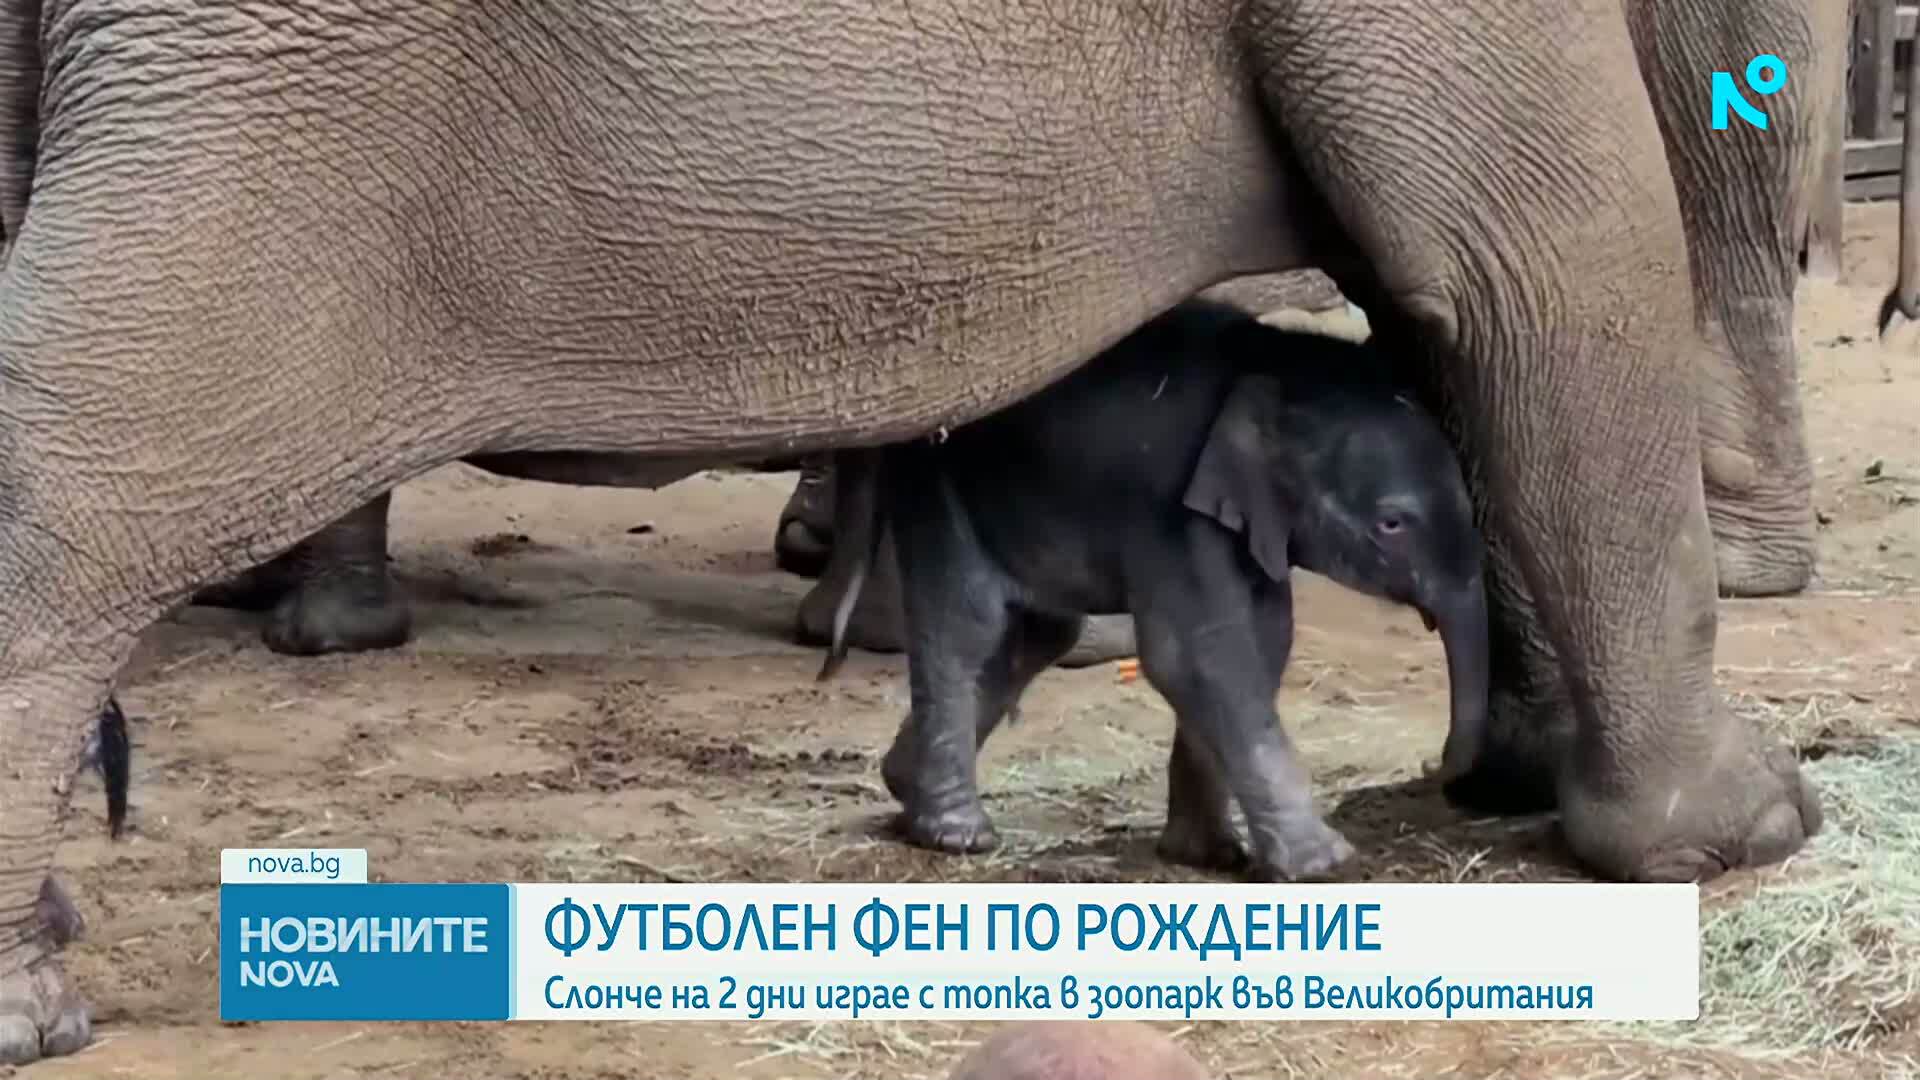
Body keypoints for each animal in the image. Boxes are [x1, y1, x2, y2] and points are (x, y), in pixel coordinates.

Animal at [814, 300, 1488, 880]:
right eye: (1392, 524)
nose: (1435, 766)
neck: (1273, 362)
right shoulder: (1169, 509)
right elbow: (1197, 655)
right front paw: (1323, 864)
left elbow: (1264, 641)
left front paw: (1210, 855)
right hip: (940, 482)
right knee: (968, 628)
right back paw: (957, 835)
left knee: (1039, 632)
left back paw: (903, 784)